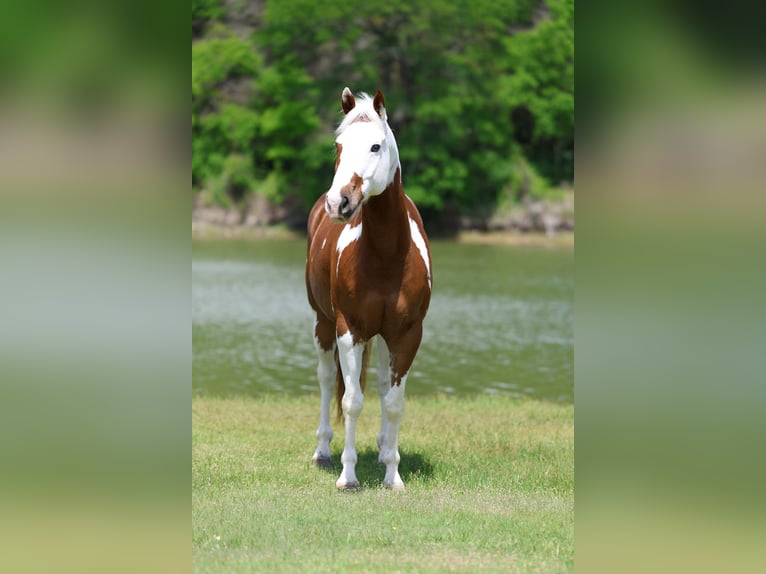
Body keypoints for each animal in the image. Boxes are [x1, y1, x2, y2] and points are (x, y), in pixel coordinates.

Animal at [305, 88, 432, 490]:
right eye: (339, 145)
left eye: (376, 145)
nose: (339, 203)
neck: (387, 256)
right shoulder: (350, 331)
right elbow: (352, 402)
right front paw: (348, 475)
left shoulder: (406, 335)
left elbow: (392, 402)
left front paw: (393, 473)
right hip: (323, 324)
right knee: (327, 381)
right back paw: (323, 451)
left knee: (378, 384)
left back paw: (381, 448)